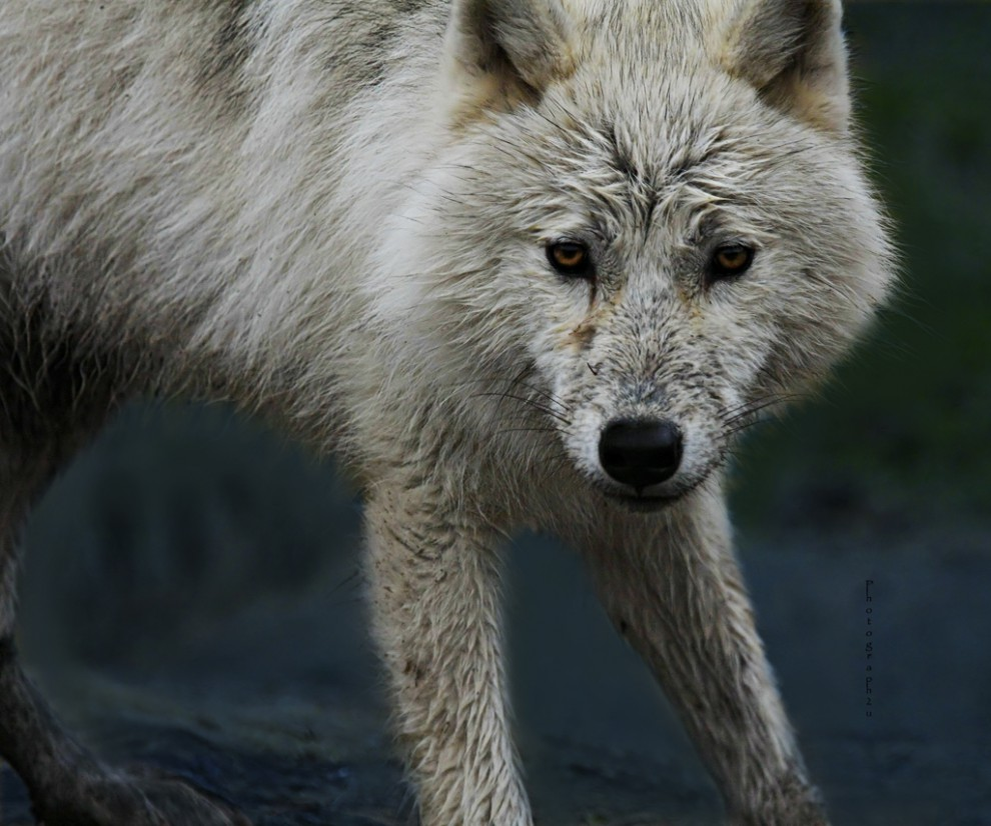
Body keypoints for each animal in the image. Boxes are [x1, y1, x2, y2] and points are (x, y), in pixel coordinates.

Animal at [0, 0, 896, 820]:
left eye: (729, 259)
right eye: (567, 254)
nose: (638, 448)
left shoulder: (653, 504)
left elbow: (763, 751)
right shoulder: (423, 496)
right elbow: (475, 785)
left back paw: (92, 791)